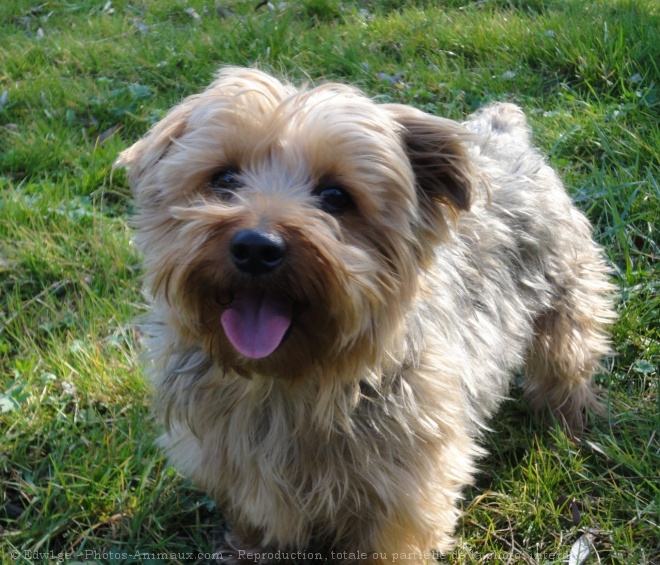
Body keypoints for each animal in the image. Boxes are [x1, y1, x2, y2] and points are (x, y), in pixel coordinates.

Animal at [116, 66, 616, 560]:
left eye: (337, 197)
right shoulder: (233, 466)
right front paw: (246, 549)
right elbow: (253, 518)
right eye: (223, 180)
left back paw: (568, 422)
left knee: (567, 358)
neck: (287, 381)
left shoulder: (404, 485)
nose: (257, 246)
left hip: (565, 292)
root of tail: (502, 133)